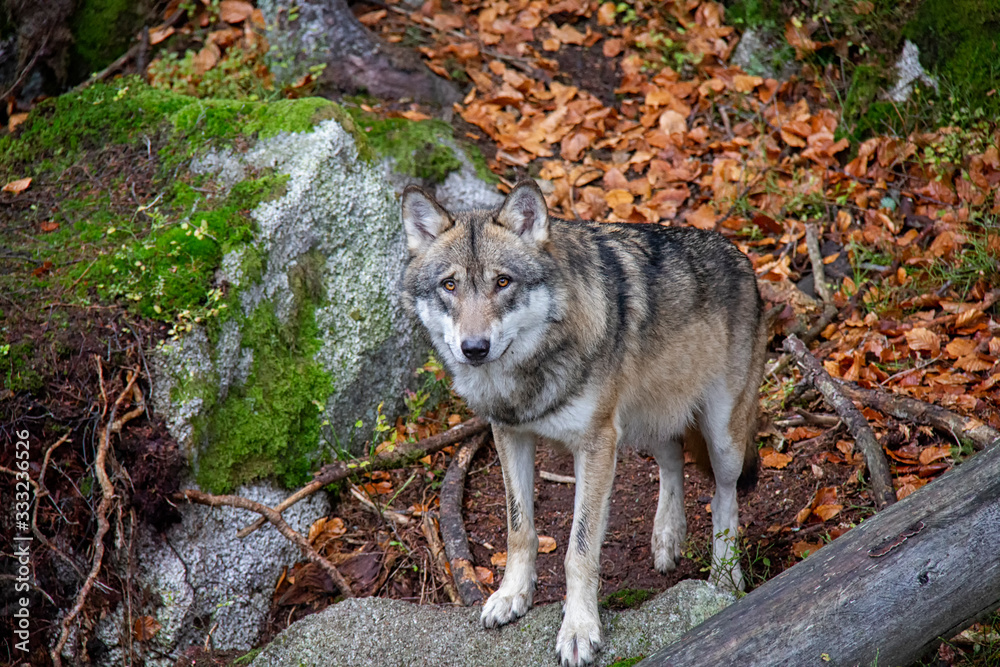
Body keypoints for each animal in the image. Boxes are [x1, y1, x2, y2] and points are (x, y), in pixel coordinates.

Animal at [401, 180, 765, 666]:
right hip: (643, 422)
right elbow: (520, 530)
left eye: (503, 282)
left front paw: (579, 629)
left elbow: (580, 550)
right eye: (449, 285)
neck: (530, 371)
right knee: (671, 458)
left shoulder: (595, 445)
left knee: (724, 495)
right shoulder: (509, 434)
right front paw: (512, 596)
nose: (474, 348)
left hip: (722, 437)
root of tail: (741, 256)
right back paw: (667, 537)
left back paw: (725, 578)